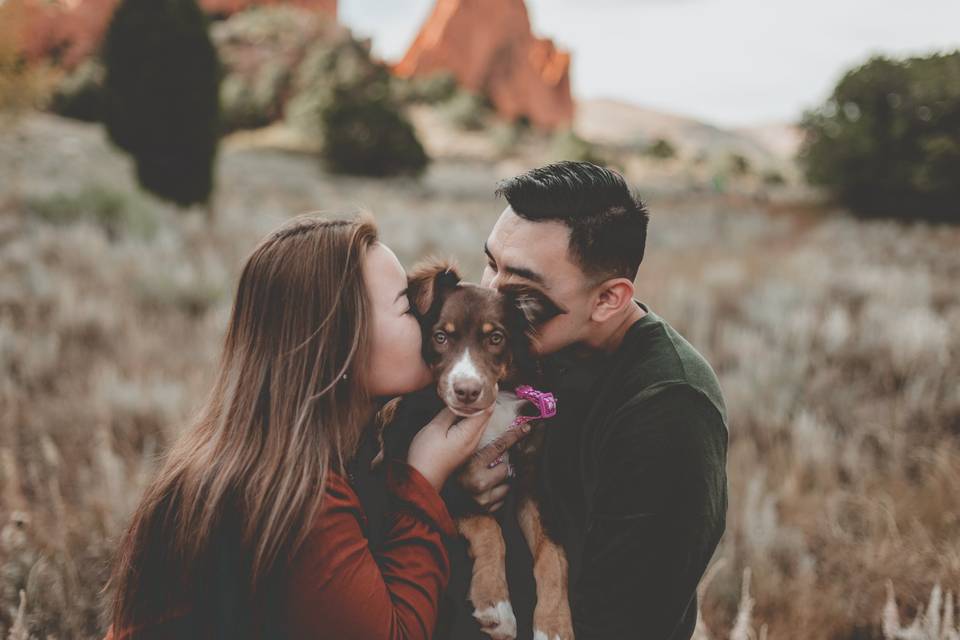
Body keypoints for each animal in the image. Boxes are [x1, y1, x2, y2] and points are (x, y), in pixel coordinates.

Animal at [402, 258, 572, 640]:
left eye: (496, 338)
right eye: (440, 336)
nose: (467, 391)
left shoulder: (529, 484)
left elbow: (552, 554)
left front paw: (554, 623)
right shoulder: (447, 481)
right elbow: (486, 527)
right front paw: (495, 605)